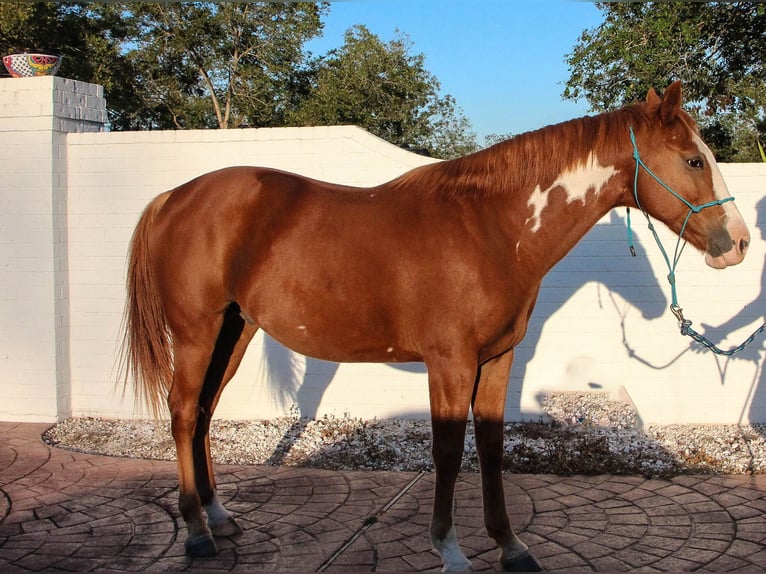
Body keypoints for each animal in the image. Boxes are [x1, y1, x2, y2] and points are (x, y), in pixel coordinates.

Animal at [120, 83, 752, 572]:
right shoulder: (450, 362)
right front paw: (449, 549)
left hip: (235, 332)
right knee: (183, 412)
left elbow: (492, 447)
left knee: (204, 412)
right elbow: (448, 451)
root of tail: (174, 197)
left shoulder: (497, 359)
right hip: (197, 334)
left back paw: (220, 517)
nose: (739, 243)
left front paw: (510, 545)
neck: (491, 228)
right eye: (694, 161)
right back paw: (196, 533)